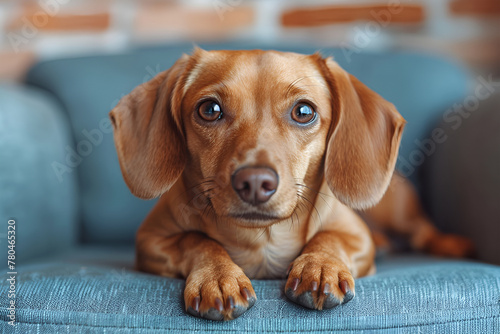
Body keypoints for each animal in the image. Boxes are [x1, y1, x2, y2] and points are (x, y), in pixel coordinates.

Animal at [109, 49, 472, 320]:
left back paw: (449, 243)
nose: (255, 181)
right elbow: (196, 240)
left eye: (304, 111)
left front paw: (321, 267)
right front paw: (218, 277)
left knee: (421, 230)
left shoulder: (357, 236)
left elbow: (329, 236)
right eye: (209, 109)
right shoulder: (150, 241)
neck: (263, 239)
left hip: (394, 209)